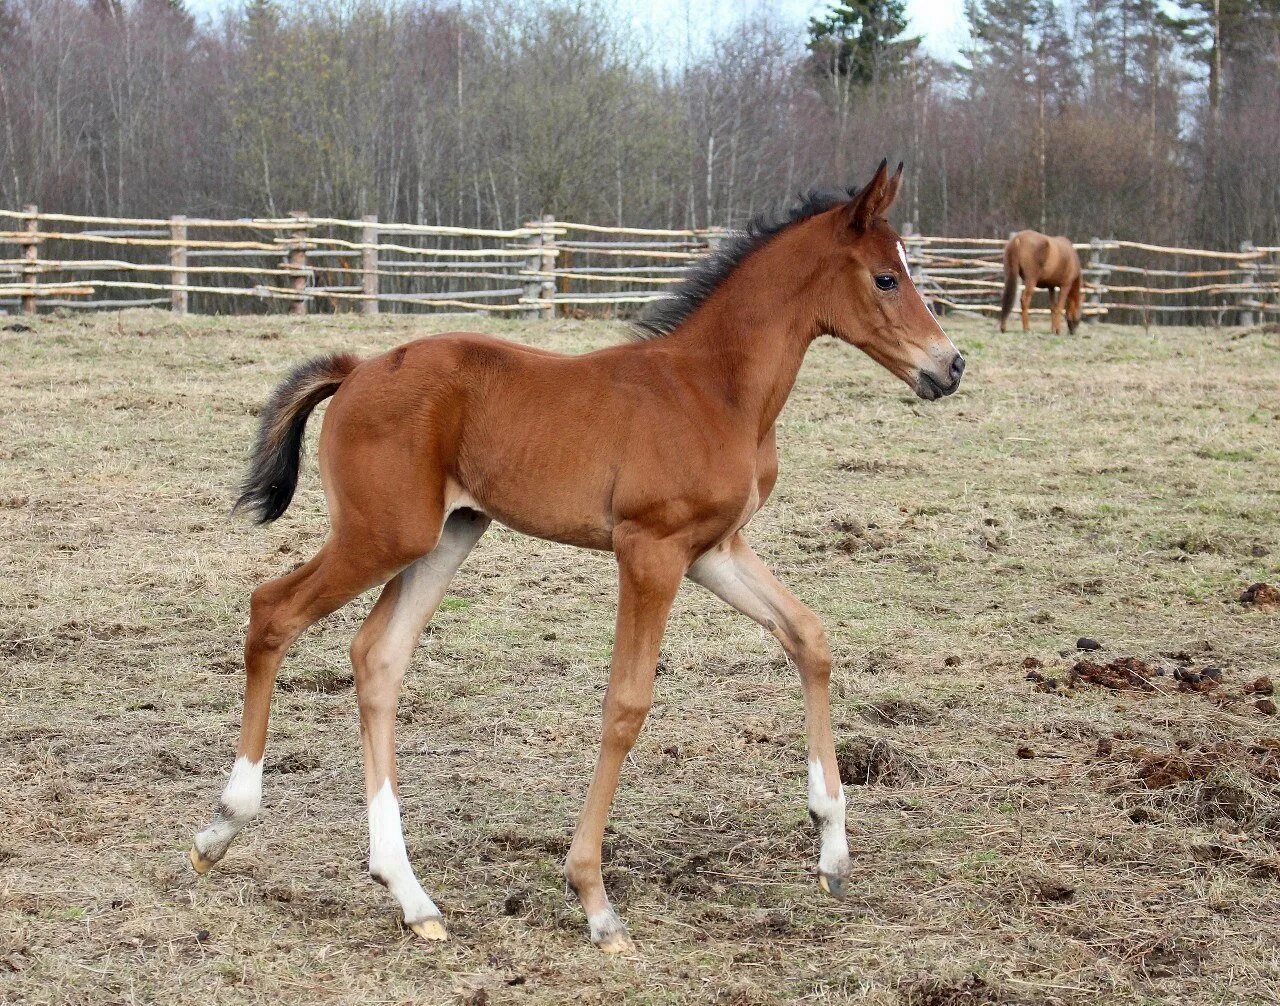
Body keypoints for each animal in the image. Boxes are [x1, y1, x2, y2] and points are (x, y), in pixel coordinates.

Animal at [192, 156, 962, 947]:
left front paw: (833, 850)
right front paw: (593, 897)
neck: (716, 389)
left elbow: (808, 637)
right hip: (382, 535)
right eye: (887, 278)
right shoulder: (650, 550)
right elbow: (626, 703)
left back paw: (410, 894)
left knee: (377, 656)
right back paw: (223, 828)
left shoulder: (715, 549)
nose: (951, 365)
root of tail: (358, 368)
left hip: (447, 536)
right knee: (273, 611)